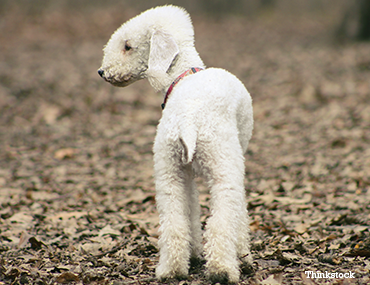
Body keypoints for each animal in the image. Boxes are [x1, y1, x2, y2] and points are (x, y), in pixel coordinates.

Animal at [98, 5, 254, 282]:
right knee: (221, 219)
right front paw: (243, 255)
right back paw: (222, 269)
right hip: (222, 164)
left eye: (127, 46)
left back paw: (171, 269)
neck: (184, 75)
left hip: (168, 169)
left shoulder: (184, 171)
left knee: (173, 220)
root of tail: (188, 121)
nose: (102, 72)